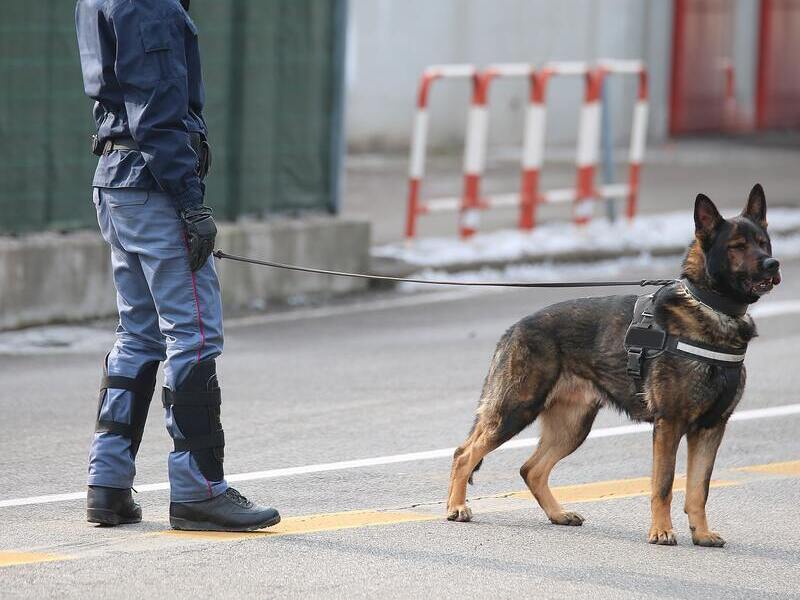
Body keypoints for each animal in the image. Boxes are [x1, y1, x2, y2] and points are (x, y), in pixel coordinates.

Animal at [450, 185, 780, 548]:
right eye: (737, 246)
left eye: (763, 242)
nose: (772, 263)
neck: (710, 306)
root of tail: (514, 328)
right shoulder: (669, 424)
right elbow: (664, 484)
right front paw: (661, 531)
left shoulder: (711, 428)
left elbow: (698, 489)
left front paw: (702, 533)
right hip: (516, 409)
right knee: (464, 454)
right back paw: (456, 507)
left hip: (572, 427)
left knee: (531, 469)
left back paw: (558, 514)